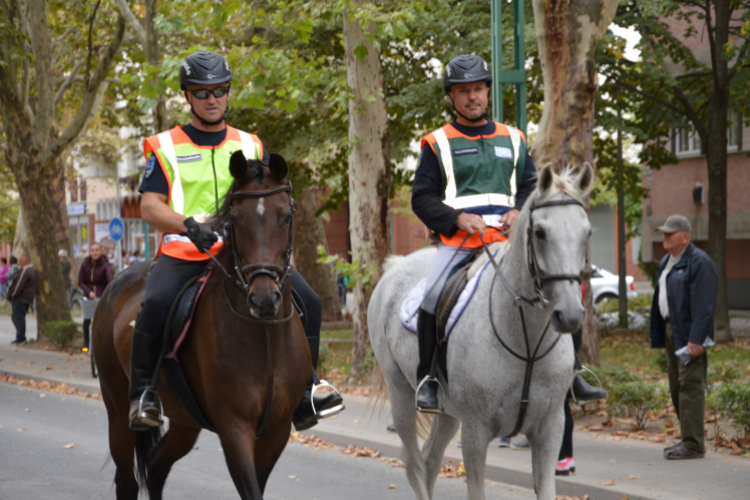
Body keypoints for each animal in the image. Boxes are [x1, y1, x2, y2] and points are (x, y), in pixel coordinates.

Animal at [94, 153, 312, 500]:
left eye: (287, 216)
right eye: (235, 219)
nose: (264, 299)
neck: (263, 336)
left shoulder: (276, 431)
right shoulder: (234, 428)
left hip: (185, 420)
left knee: (156, 466)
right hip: (117, 411)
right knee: (127, 479)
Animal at [368, 165, 592, 500]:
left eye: (587, 232)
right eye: (540, 232)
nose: (570, 314)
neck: (525, 341)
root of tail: (395, 265)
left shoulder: (550, 428)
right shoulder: (476, 432)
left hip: (448, 412)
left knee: (429, 459)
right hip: (401, 391)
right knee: (413, 463)